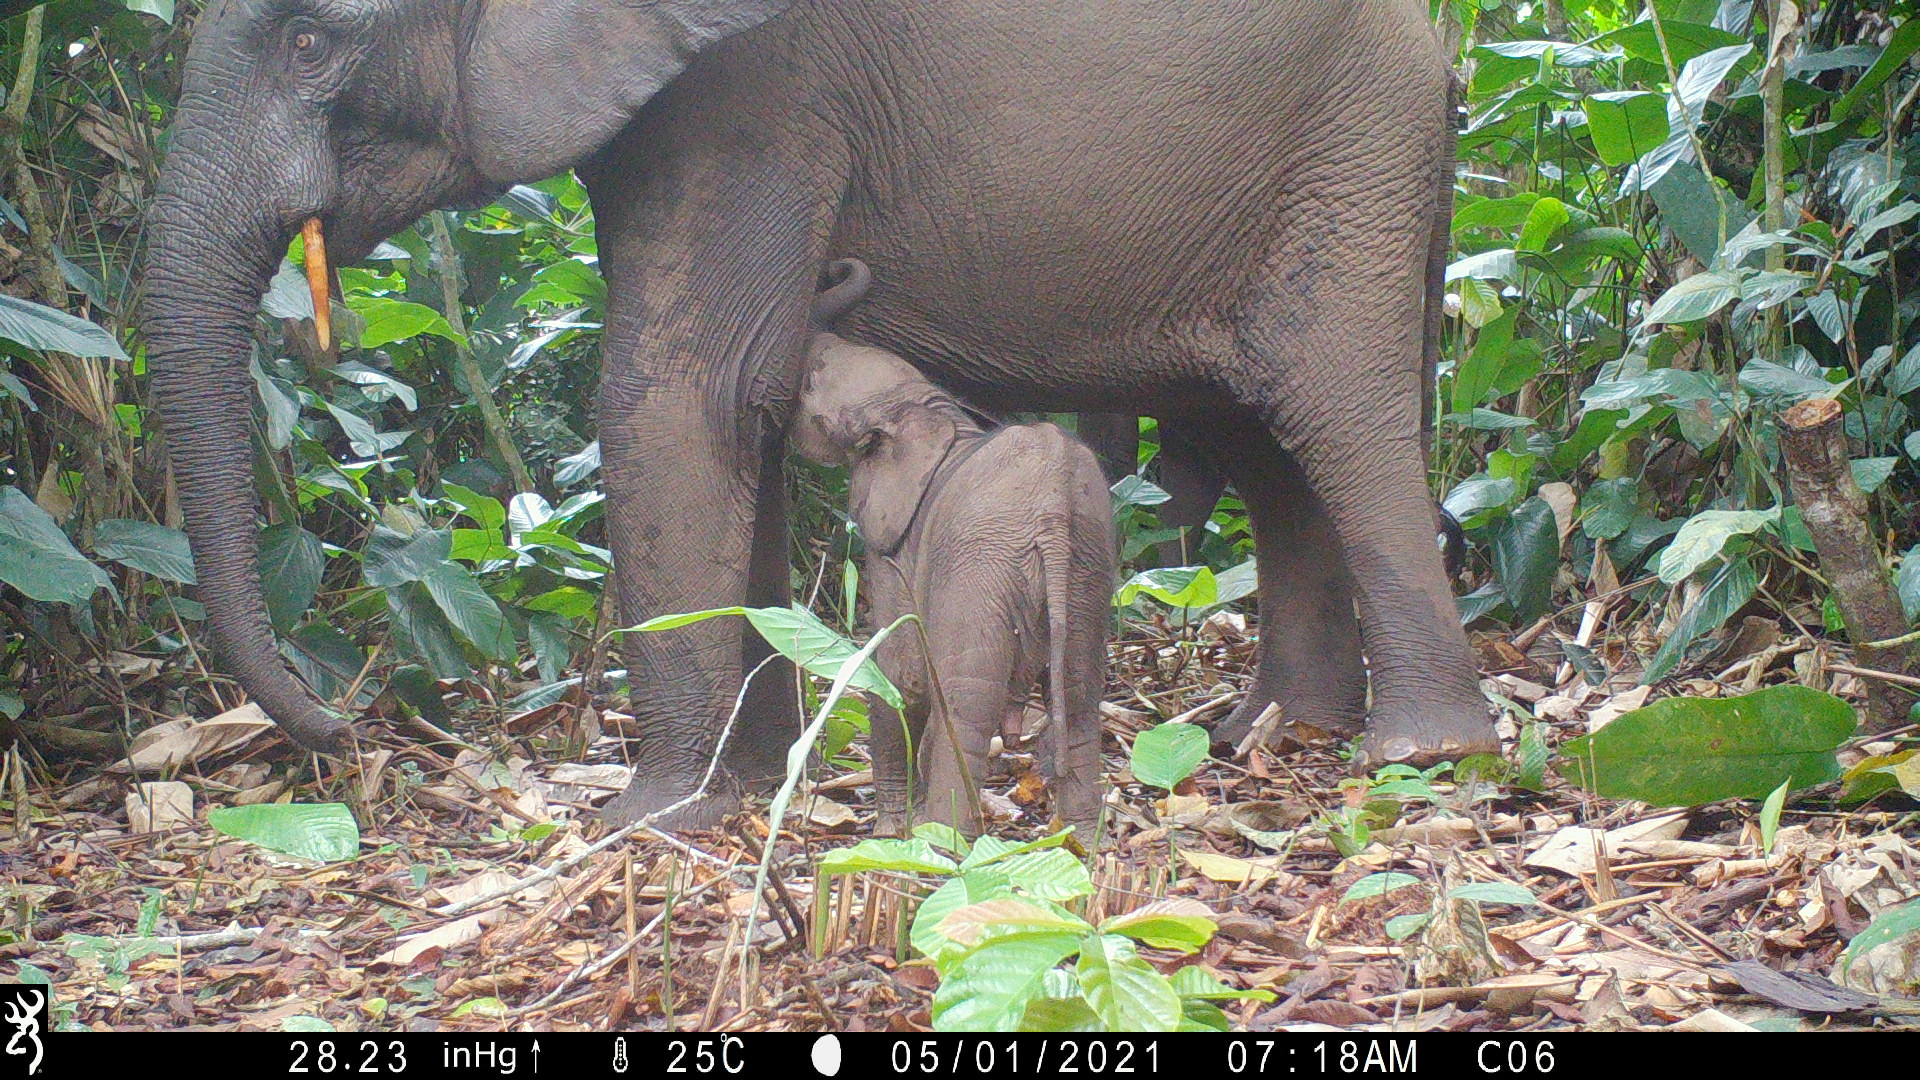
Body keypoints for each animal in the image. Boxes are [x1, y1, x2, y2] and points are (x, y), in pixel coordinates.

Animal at [791, 265, 1113, 837]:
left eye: (810, 382)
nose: (833, 267)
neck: (923, 406)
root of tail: (1054, 511)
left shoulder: (894, 545)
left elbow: (898, 672)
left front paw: (891, 832)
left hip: (983, 569)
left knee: (966, 703)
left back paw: (942, 843)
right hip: (1084, 571)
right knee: (1079, 698)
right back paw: (1081, 845)